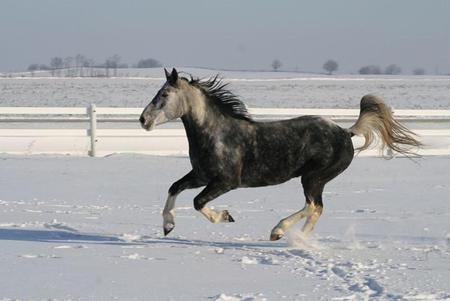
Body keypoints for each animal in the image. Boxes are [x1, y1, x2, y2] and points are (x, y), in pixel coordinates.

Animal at [138, 67, 422, 239]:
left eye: (164, 94)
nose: (143, 120)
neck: (216, 134)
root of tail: (345, 132)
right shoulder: (200, 175)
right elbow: (174, 187)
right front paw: (168, 225)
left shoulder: (226, 182)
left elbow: (198, 202)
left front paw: (226, 216)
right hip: (314, 180)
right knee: (316, 208)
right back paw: (298, 238)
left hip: (313, 177)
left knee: (313, 206)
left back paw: (280, 232)